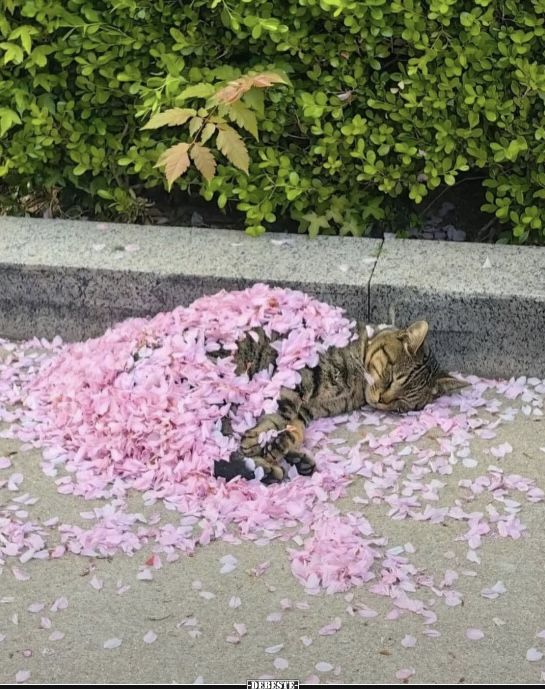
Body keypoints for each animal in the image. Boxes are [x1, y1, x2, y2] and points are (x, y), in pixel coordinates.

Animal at [212, 320, 464, 482]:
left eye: (402, 404)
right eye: (391, 378)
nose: (382, 400)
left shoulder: (307, 409)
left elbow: (293, 429)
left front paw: (280, 445)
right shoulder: (299, 376)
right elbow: (277, 415)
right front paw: (257, 443)